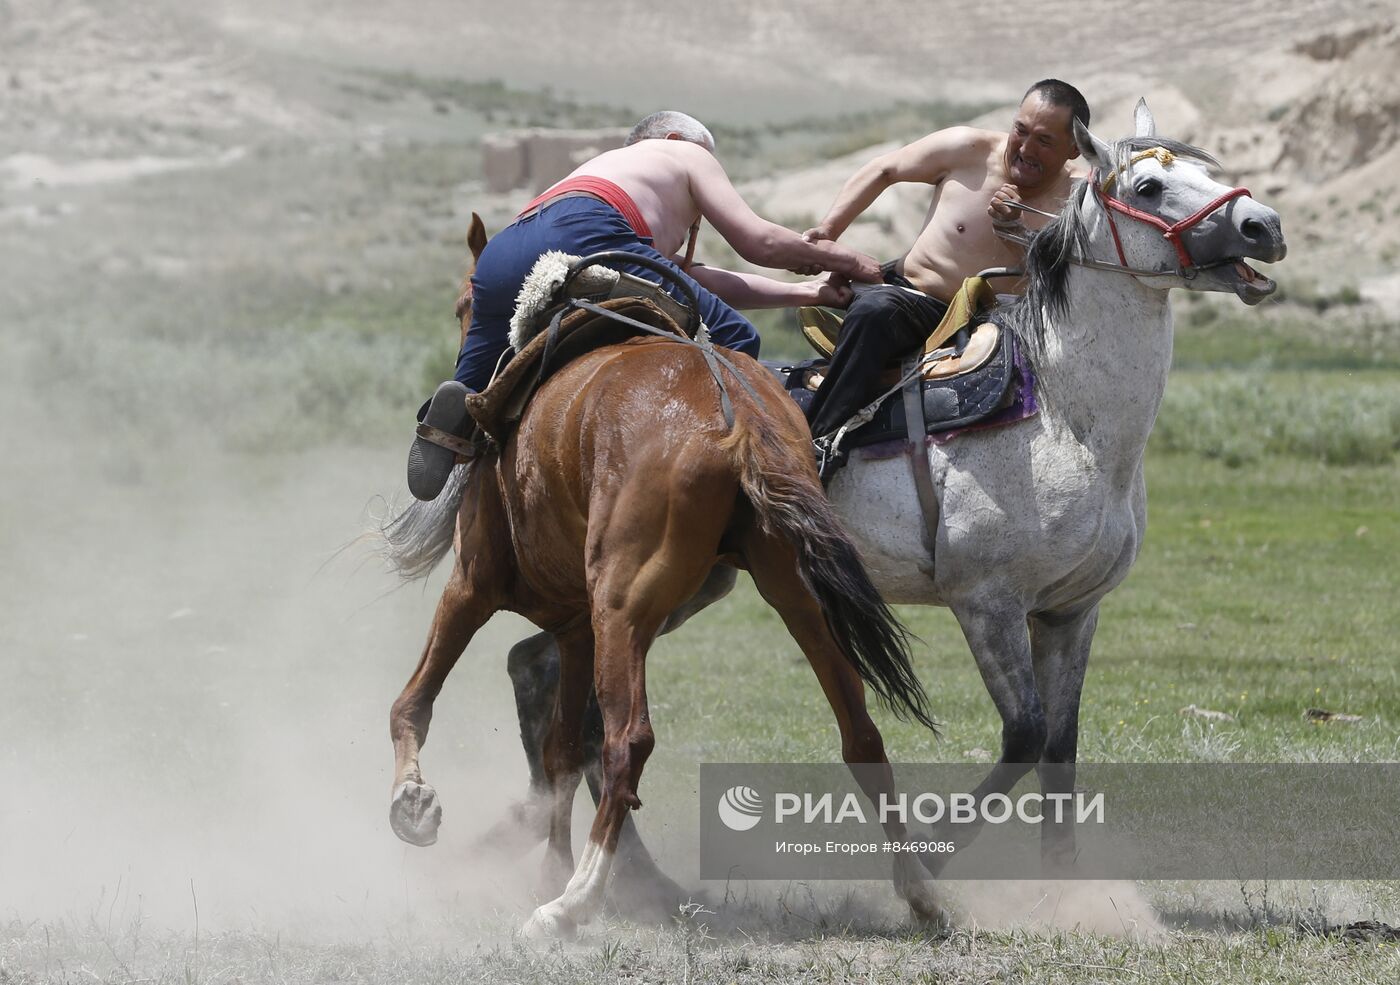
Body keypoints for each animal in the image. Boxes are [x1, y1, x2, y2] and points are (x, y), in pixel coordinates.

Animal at [386, 225, 940, 940]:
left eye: (464, 304)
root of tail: (740, 421)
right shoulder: (575, 629)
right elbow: (562, 753)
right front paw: (544, 864)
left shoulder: (472, 587)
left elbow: (415, 703)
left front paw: (413, 803)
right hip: (795, 598)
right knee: (861, 734)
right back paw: (922, 893)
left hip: (623, 609)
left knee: (629, 742)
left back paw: (573, 903)